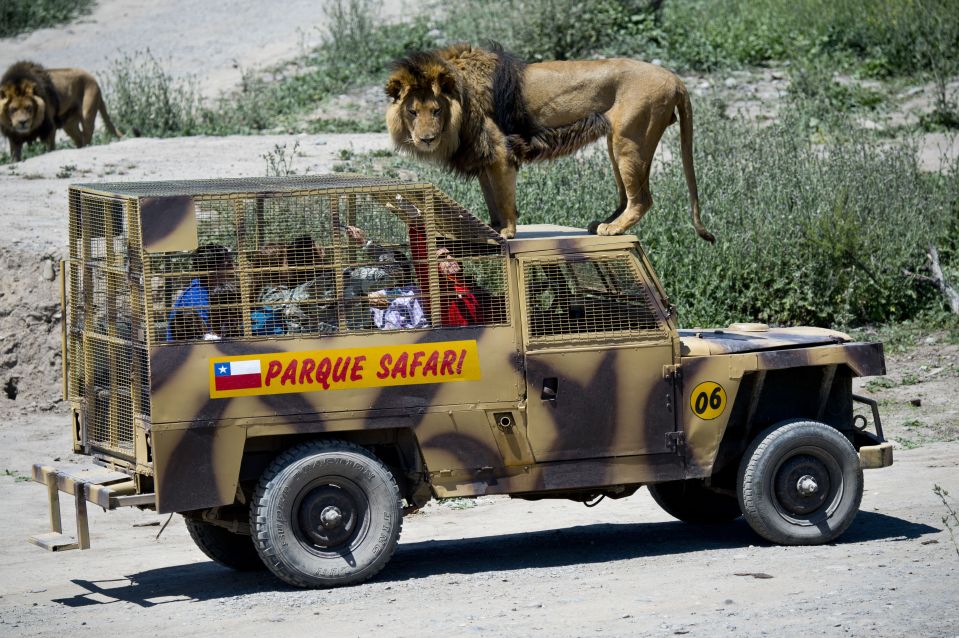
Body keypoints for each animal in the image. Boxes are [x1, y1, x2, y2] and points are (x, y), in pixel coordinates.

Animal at [388, 42, 712, 242]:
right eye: (413, 112)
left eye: (436, 110)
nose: (426, 139)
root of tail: (675, 78)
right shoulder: (483, 155)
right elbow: (491, 198)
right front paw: (492, 228)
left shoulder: (500, 151)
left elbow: (504, 198)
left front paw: (507, 232)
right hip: (617, 142)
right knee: (627, 196)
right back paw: (602, 223)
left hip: (631, 139)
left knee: (642, 199)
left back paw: (613, 228)